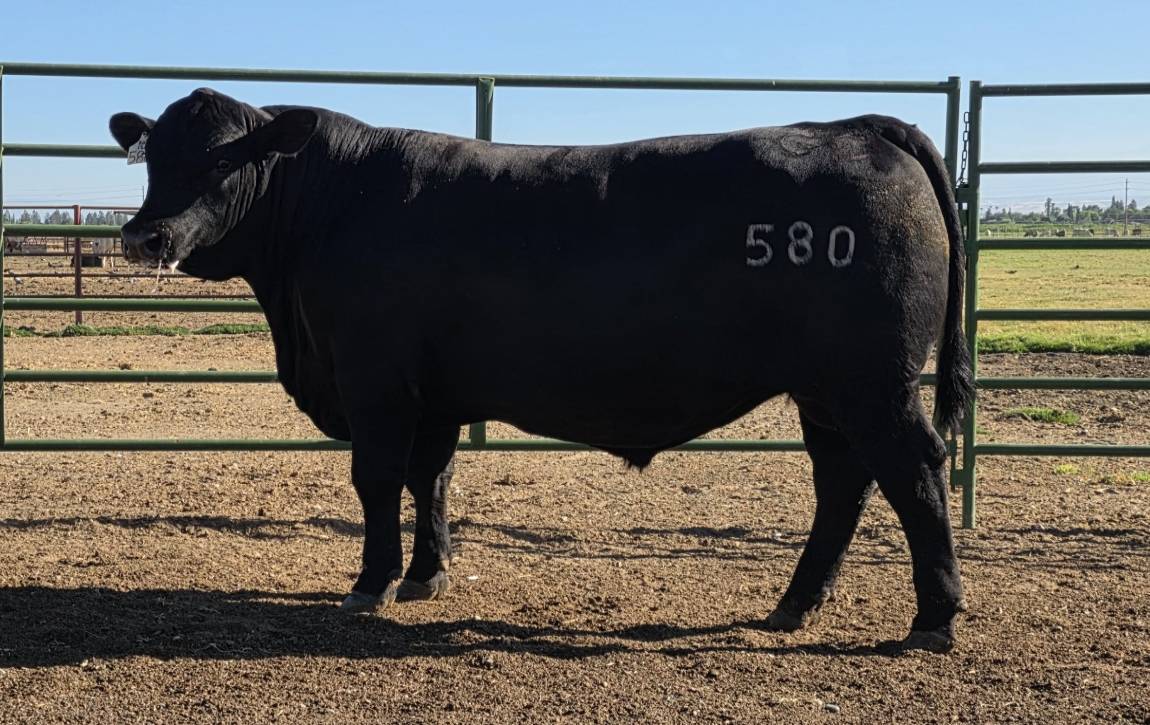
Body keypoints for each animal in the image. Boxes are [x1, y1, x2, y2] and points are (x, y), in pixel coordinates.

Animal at [109, 88, 973, 652]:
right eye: (154, 158)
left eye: (223, 160)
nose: (144, 236)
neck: (328, 204)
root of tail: (856, 125)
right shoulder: (436, 393)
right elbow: (433, 478)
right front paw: (427, 574)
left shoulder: (375, 381)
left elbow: (377, 479)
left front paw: (372, 581)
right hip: (827, 391)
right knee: (843, 481)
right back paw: (795, 603)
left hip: (873, 385)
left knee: (914, 472)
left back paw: (933, 617)